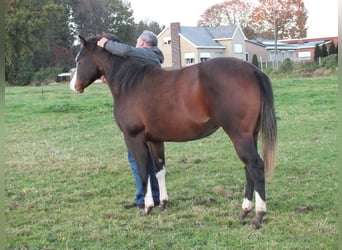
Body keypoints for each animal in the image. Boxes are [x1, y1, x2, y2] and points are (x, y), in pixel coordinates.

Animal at [71, 35, 276, 229]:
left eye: (79, 60)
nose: (73, 86)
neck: (131, 84)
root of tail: (253, 71)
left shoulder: (134, 139)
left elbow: (144, 172)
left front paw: (147, 207)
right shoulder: (155, 140)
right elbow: (159, 170)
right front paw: (162, 203)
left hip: (239, 136)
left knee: (255, 166)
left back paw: (258, 216)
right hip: (250, 135)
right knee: (248, 169)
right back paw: (244, 211)